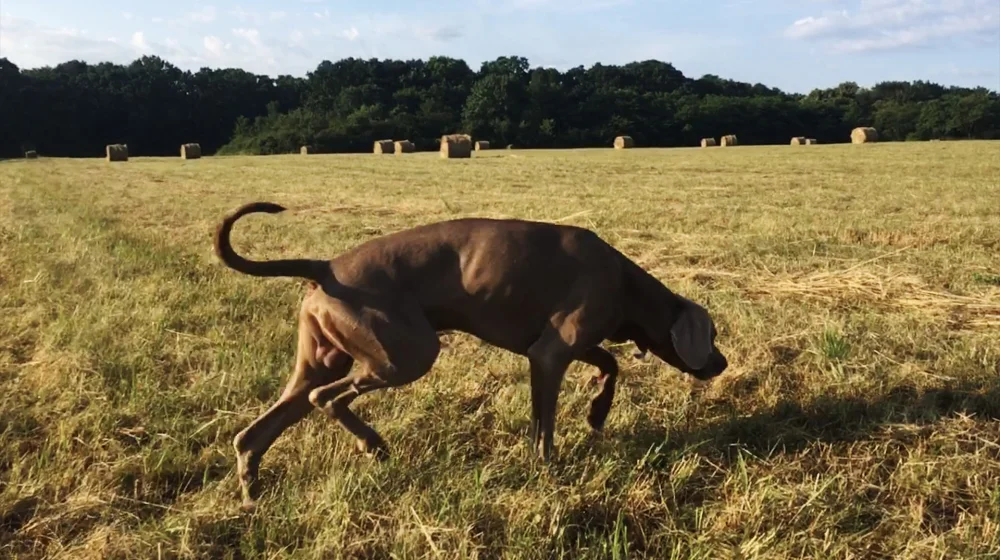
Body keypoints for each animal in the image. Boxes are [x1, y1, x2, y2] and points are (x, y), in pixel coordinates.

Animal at [215, 202, 728, 512]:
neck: (625, 283)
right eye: (715, 333)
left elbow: (610, 364)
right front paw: (548, 467)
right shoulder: (550, 353)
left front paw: (597, 412)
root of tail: (325, 268)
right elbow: (546, 421)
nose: (721, 363)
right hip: (408, 352)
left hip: (323, 358)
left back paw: (252, 491)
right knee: (328, 398)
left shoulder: (565, 347)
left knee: (257, 430)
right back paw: (372, 444)